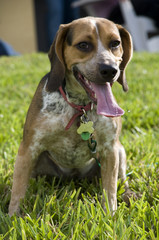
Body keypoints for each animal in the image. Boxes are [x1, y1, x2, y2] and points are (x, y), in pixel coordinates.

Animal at [8, 16, 133, 216]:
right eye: (83, 45)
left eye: (115, 43)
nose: (110, 70)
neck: (80, 108)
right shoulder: (28, 148)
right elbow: (18, 190)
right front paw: (13, 218)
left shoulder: (110, 149)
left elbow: (110, 190)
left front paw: (110, 216)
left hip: (120, 151)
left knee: (122, 180)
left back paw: (129, 195)